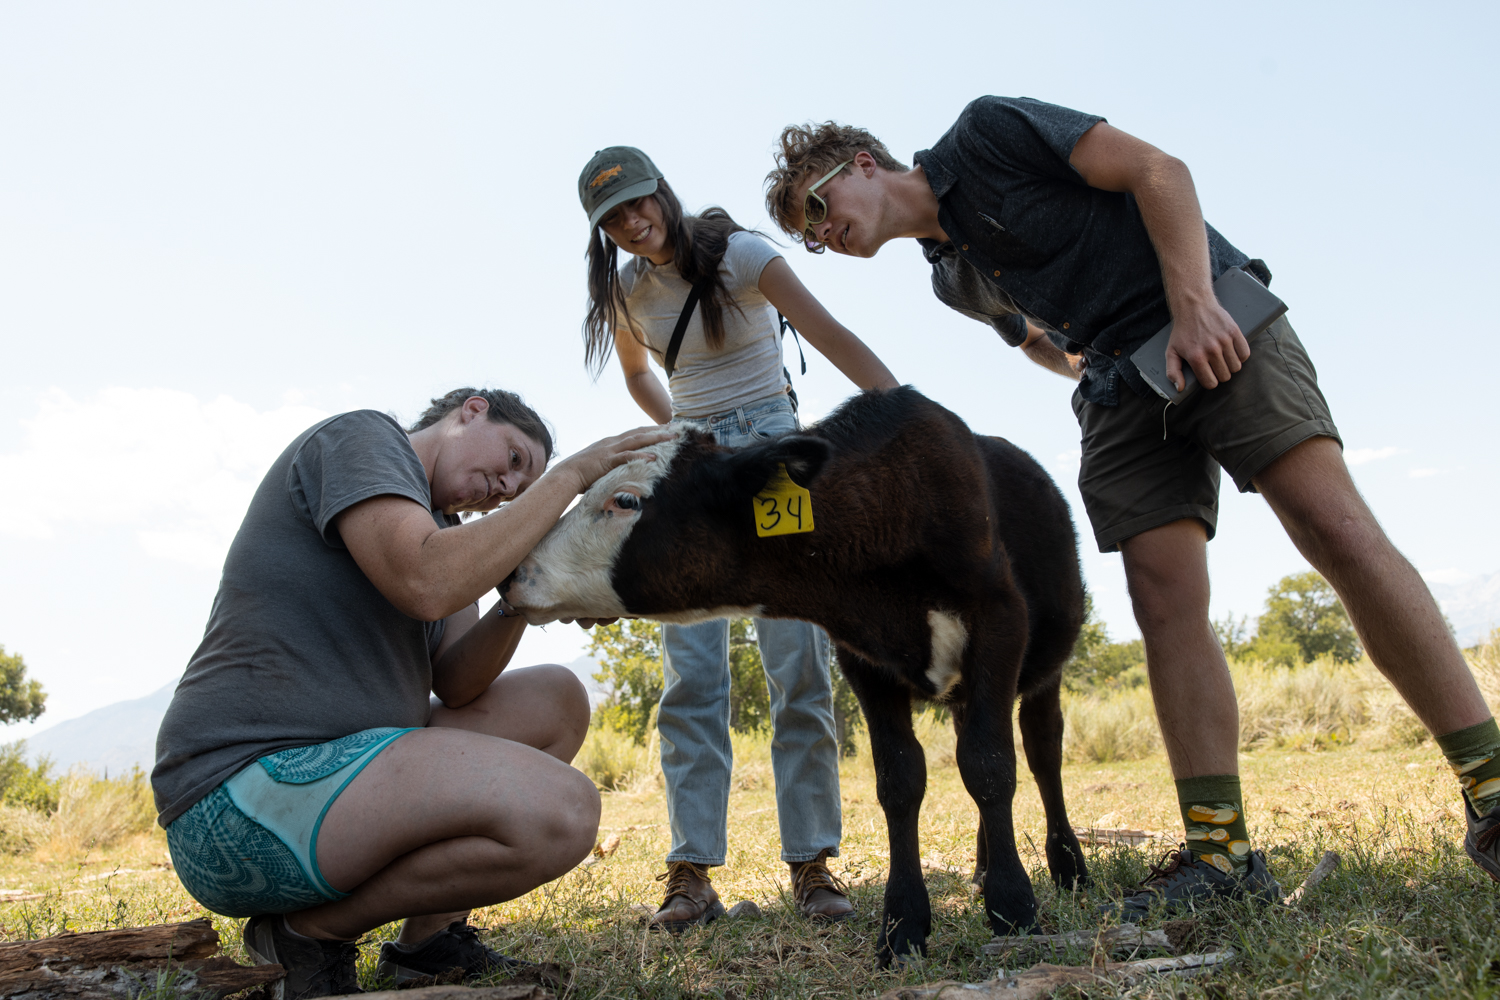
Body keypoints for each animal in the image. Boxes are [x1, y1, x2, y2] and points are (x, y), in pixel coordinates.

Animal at [510, 386, 1086, 965]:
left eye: (625, 501)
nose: (516, 573)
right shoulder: (864, 662)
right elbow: (900, 780)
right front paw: (903, 926)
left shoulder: (1000, 621)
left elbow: (990, 767)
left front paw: (1014, 909)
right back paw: (984, 868)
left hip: (1044, 666)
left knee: (1042, 752)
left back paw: (1069, 866)